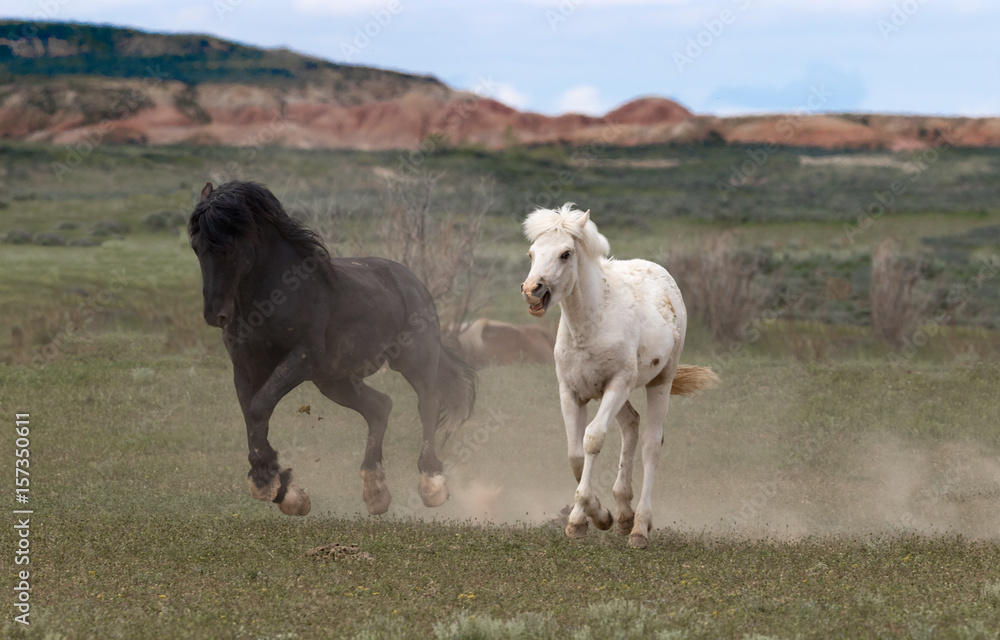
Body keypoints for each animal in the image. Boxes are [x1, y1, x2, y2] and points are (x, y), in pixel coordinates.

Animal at [188, 181, 476, 517]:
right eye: (196, 247)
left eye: (232, 246)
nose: (215, 314)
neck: (272, 297)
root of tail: (414, 282)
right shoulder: (245, 369)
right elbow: (252, 415)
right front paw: (280, 488)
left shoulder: (302, 358)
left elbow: (260, 406)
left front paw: (270, 483)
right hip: (335, 381)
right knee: (380, 407)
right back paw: (376, 490)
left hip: (414, 359)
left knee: (428, 404)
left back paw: (431, 483)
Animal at [520, 204, 717, 548]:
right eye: (532, 253)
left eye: (565, 254)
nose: (532, 290)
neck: (592, 323)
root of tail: (662, 274)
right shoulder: (570, 392)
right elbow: (575, 454)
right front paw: (594, 517)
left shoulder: (617, 385)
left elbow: (593, 439)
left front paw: (591, 517)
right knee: (631, 425)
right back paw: (624, 514)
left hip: (658, 382)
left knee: (651, 443)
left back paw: (639, 528)